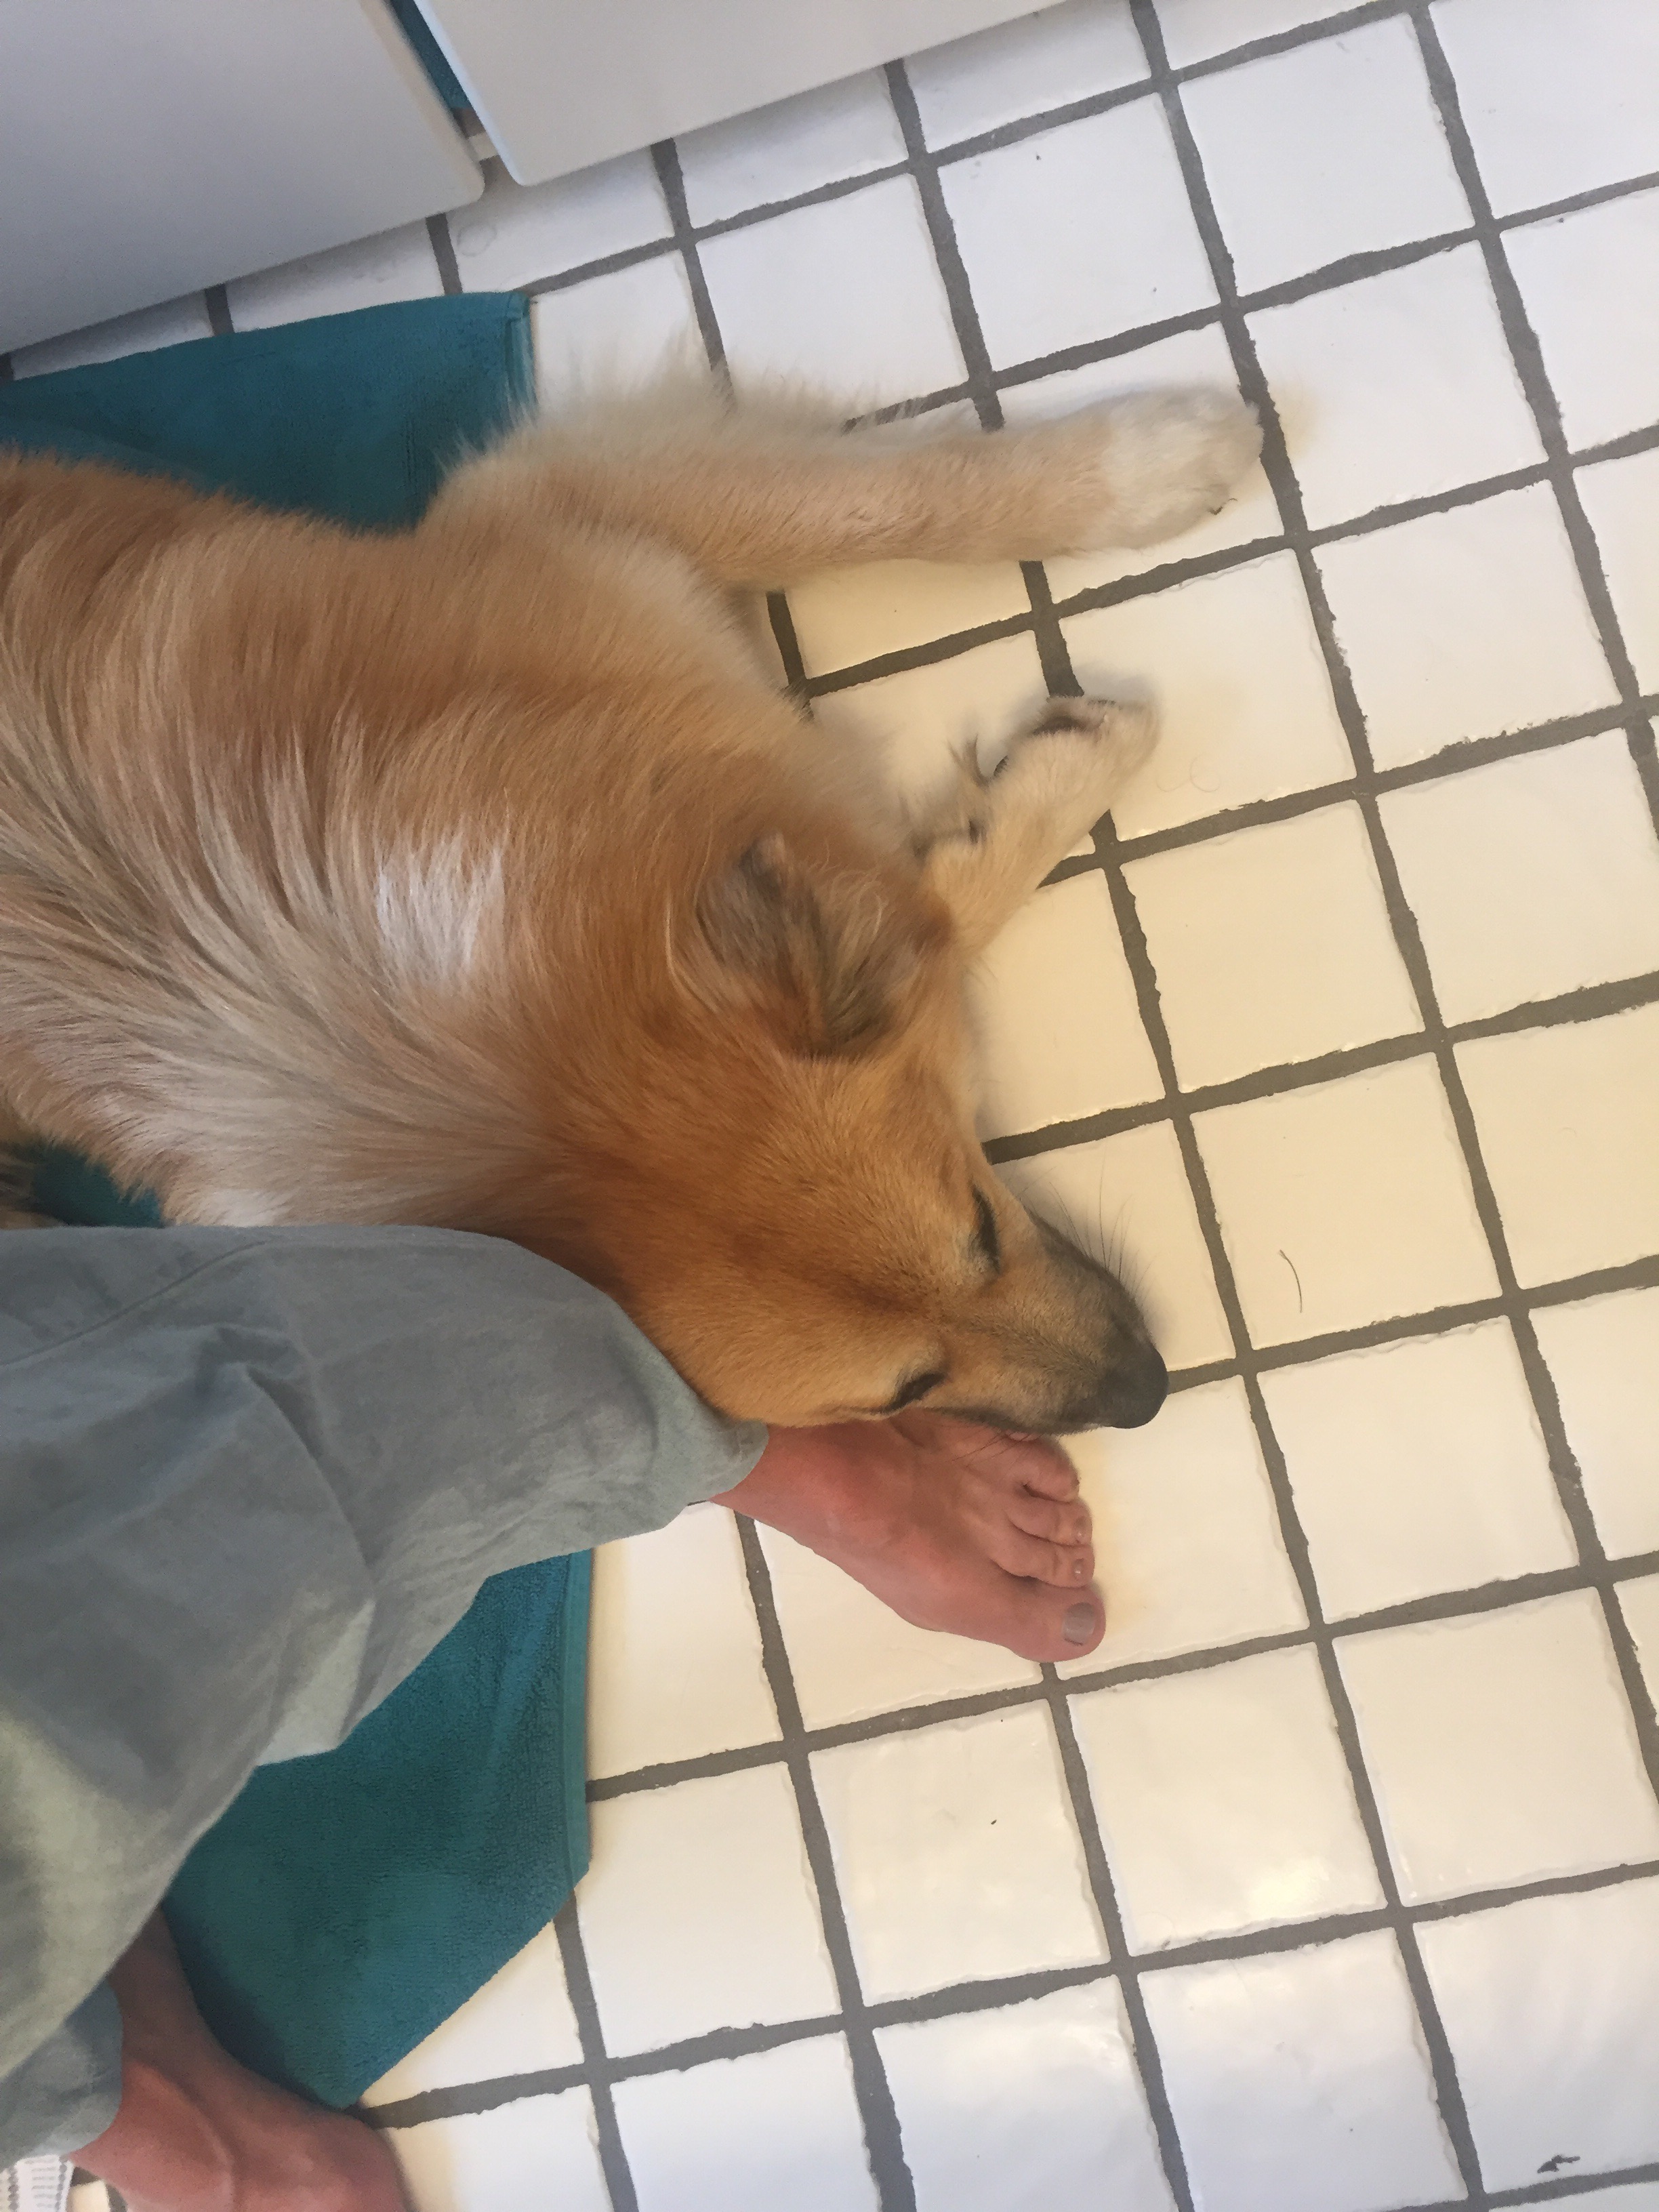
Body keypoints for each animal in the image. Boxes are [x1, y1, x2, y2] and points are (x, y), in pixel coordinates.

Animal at [0, 377, 1259, 1431]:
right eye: (903, 1392)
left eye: (984, 1232)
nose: (1146, 1389)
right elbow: (937, 911)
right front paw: (1043, 785)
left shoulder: (568, 517)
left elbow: (888, 506)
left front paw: (1148, 467)